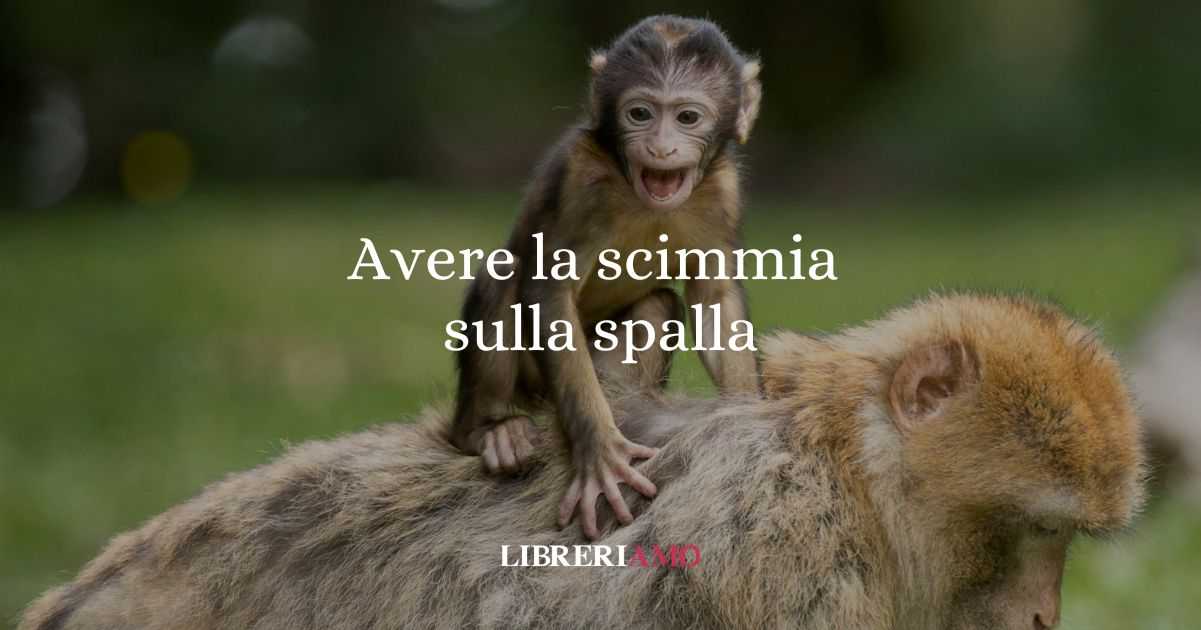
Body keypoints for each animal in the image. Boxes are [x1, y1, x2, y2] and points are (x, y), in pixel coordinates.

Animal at [449, 15, 763, 539]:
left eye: (687, 118)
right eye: (639, 113)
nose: (660, 146)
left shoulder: (724, 191)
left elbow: (713, 299)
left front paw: (743, 420)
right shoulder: (579, 177)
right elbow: (549, 290)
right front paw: (599, 452)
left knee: (658, 304)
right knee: (504, 278)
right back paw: (488, 431)